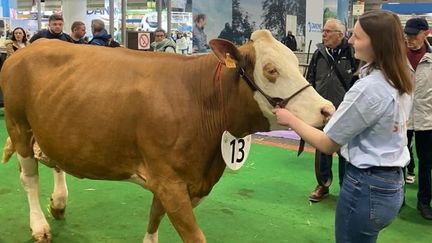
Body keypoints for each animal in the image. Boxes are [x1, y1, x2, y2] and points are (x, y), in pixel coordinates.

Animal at [0, 29, 334, 242]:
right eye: (271, 70)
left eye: (296, 65)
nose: (327, 109)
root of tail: (29, 47)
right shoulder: (169, 181)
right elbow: (194, 236)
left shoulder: (176, 181)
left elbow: (154, 217)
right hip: (18, 123)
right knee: (28, 176)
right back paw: (39, 226)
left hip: (55, 127)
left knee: (54, 160)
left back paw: (58, 204)